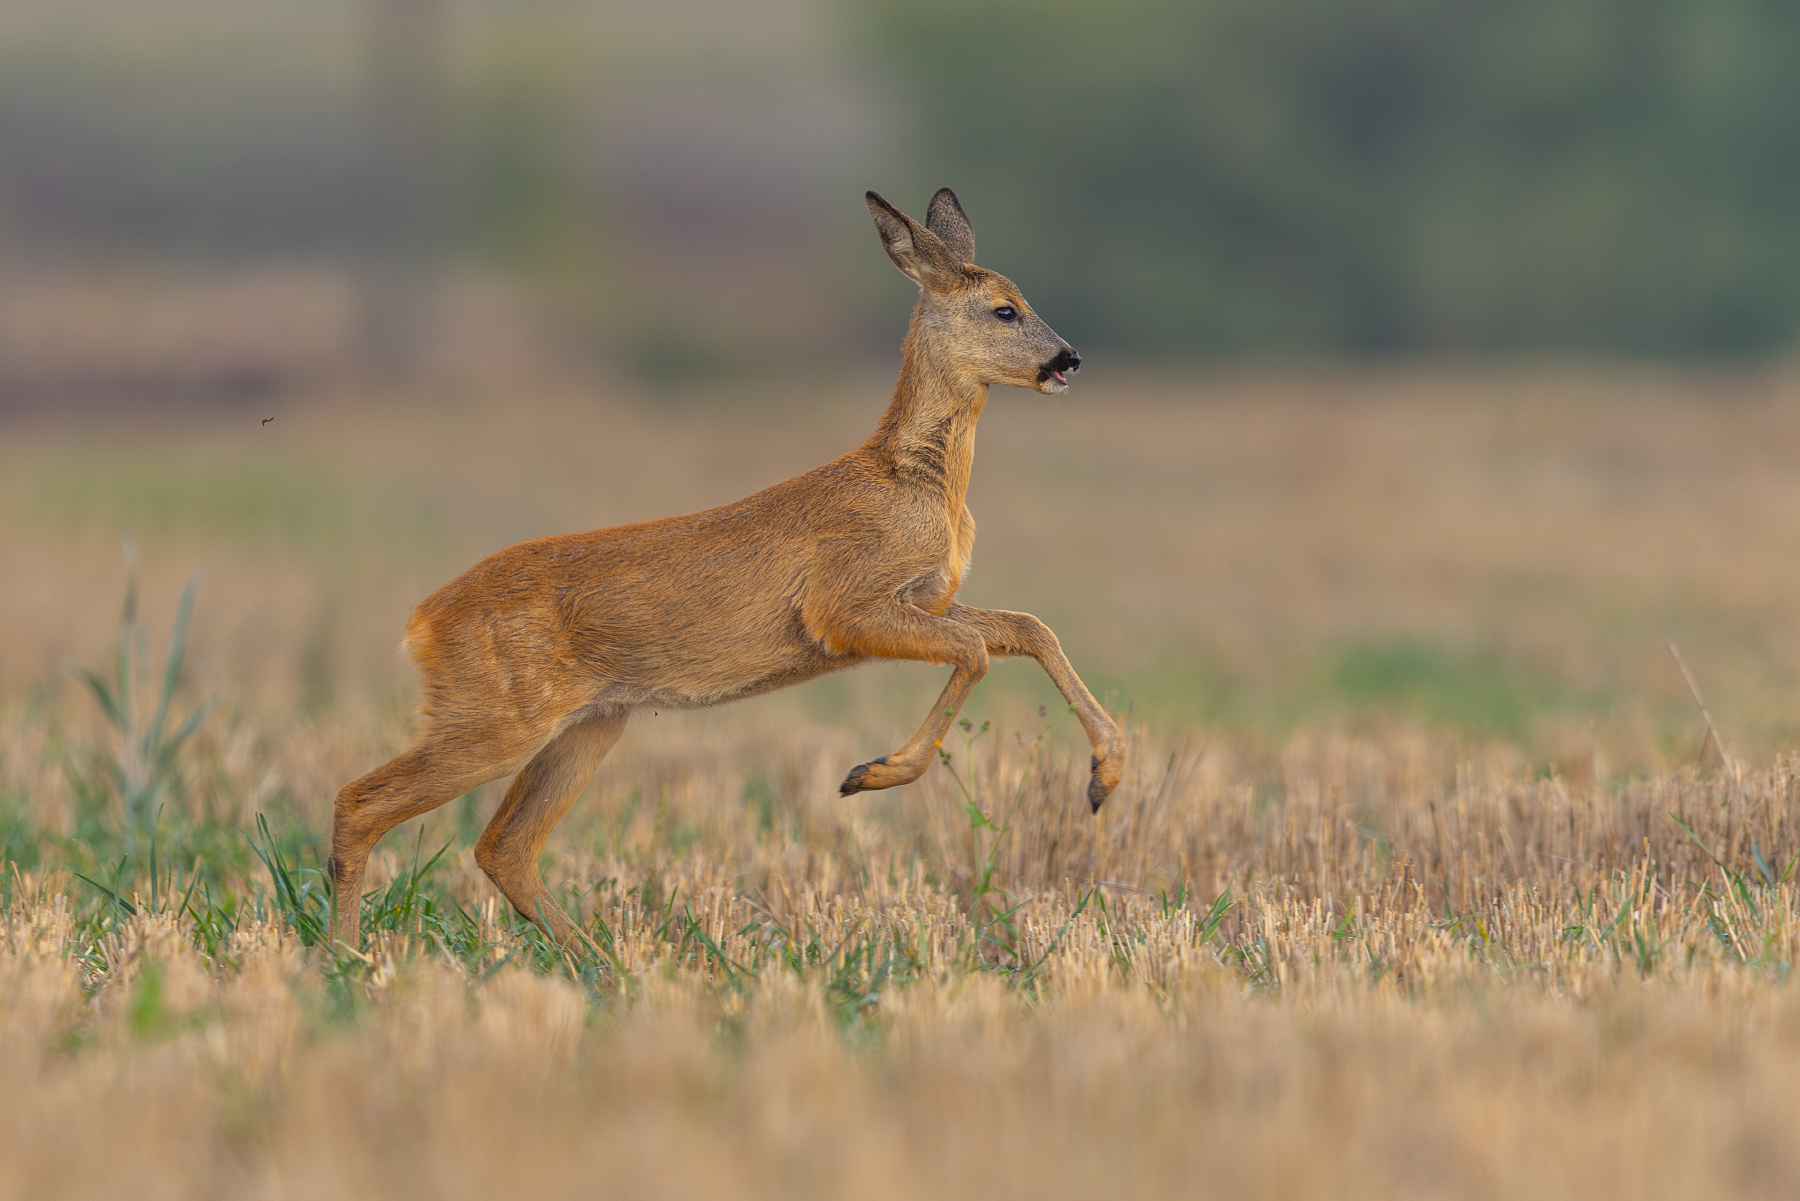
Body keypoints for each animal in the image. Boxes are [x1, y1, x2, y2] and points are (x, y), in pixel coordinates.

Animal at [327, 188, 1125, 949]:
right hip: (496, 716)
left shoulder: (924, 599)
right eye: (1004, 308)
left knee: (504, 846)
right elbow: (976, 650)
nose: (1069, 359)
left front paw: (1104, 778)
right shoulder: (844, 607)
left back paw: (603, 961)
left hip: (590, 722)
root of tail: (422, 622)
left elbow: (1027, 627)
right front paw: (870, 774)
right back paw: (350, 957)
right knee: (360, 803)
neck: (915, 482)